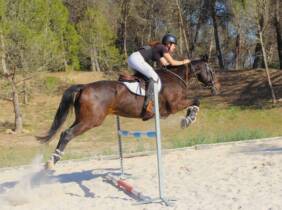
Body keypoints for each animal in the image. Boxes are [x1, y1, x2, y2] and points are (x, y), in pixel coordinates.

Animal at [37, 54, 220, 169]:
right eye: (211, 70)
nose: (216, 88)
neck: (176, 77)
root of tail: (84, 87)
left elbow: (195, 101)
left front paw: (189, 118)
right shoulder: (174, 105)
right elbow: (196, 101)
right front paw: (188, 119)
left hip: (82, 118)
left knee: (64, 132)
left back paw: (52, 160)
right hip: (91, 121)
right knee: (67, 134)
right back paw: (52, 162)